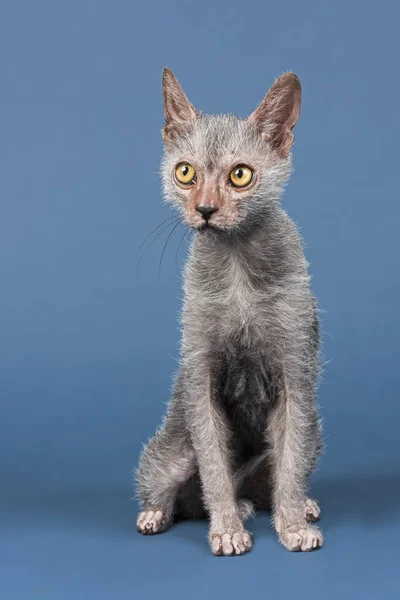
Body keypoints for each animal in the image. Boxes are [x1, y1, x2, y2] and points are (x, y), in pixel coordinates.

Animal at [136, 68, 324, 556]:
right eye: (185, 172)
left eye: (240, 175)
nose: (204, 209)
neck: (237, 266)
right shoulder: (200, 376)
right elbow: (214, 465)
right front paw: (226, 531)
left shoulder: (296, 372)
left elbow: (290, 461)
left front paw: (292, 525)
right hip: (172, 452)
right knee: (173, 487)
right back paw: (161, 514)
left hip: (314, 430)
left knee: (274, 475)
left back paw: (292, 506)